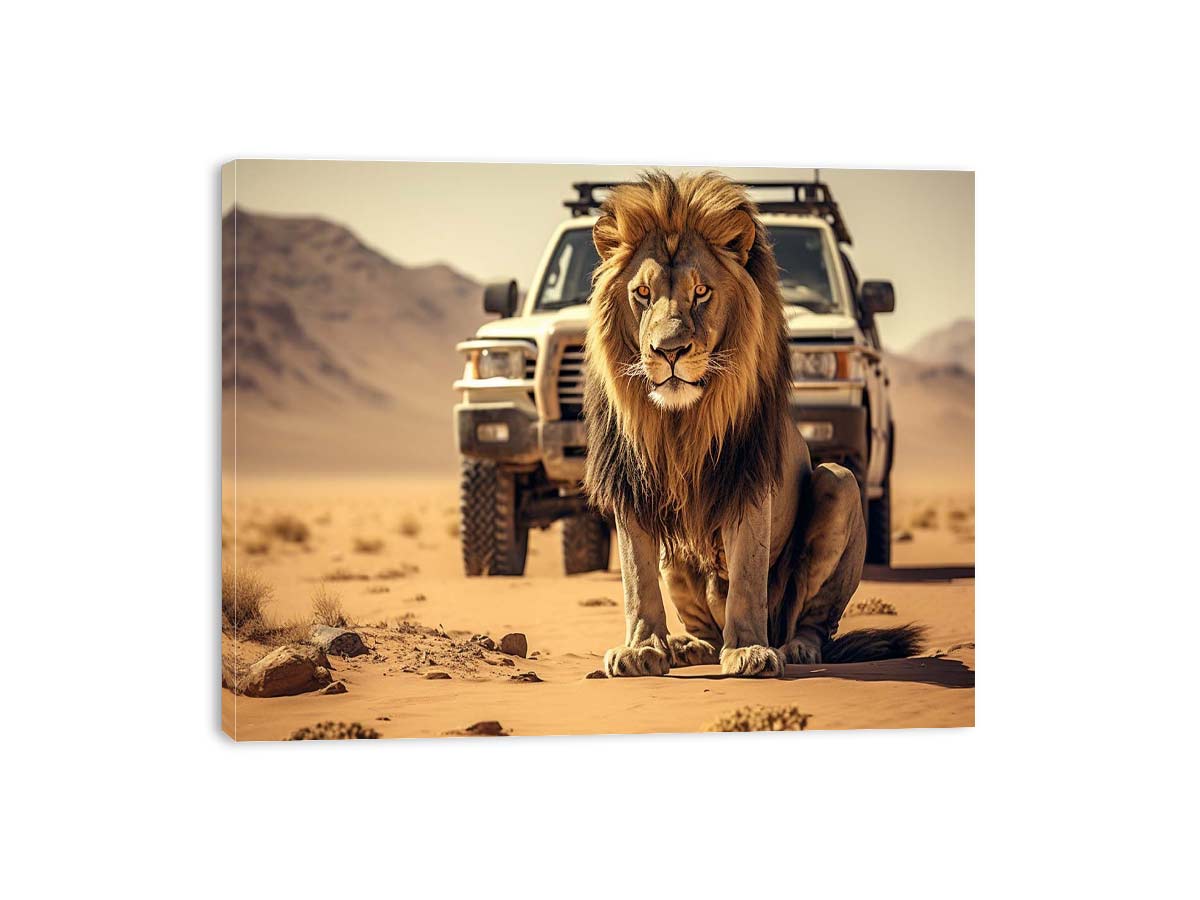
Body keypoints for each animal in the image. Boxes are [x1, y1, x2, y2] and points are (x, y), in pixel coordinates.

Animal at [582, 171, 922, 677]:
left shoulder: (749, 478)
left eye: (701, 292)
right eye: (642, 294)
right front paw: (642, 650)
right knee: (704, 626)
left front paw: (748, 651)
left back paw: (794, 648)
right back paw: (688, 647)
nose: (668, 351)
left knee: (812, 617)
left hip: (839, 484)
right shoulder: (632, 485)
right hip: (677, 558)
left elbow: (746, 574)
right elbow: (636, 579)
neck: (681, 421)